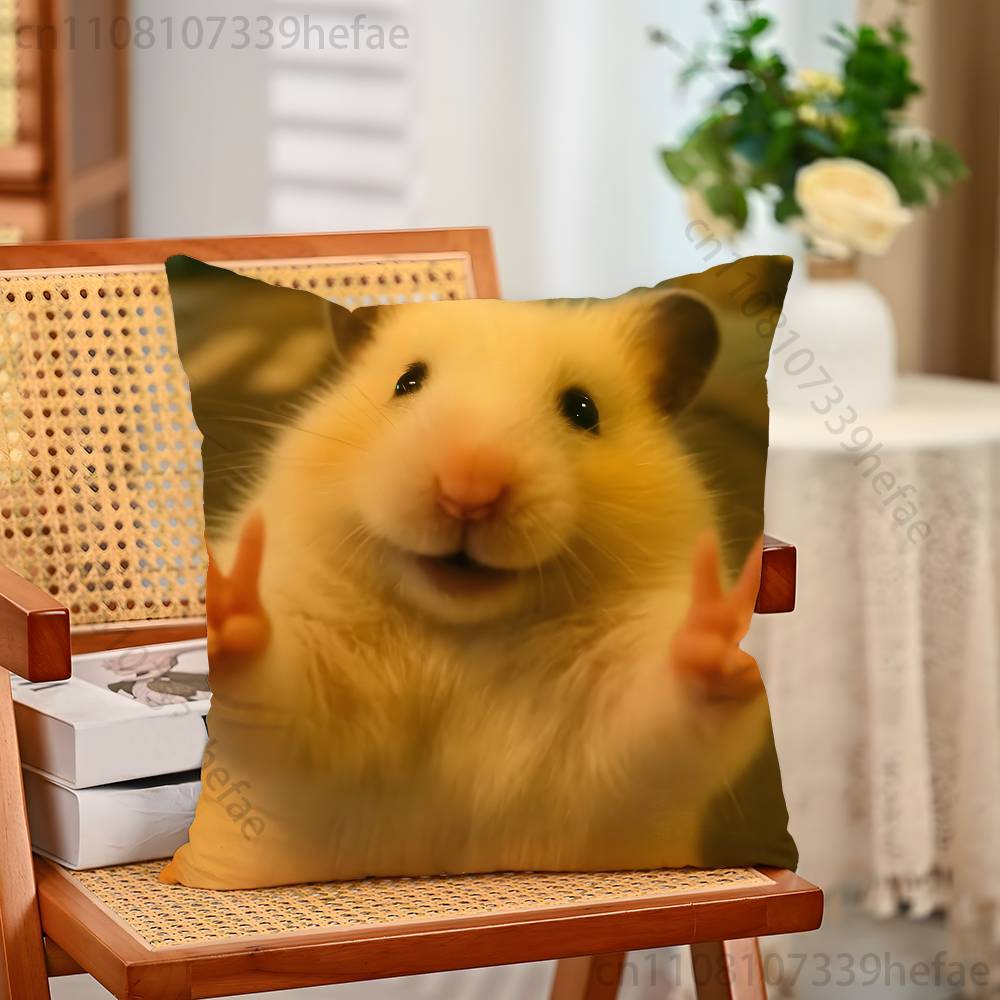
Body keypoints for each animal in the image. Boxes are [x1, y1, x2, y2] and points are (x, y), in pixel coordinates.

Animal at [162, 291, 770, 889]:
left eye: (583, 410)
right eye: (407, 381)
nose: (469, 492)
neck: (462, 633)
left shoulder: (619, 744)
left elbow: (662, 704)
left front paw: (723, 629)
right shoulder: (309, 700)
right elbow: (272, 681)